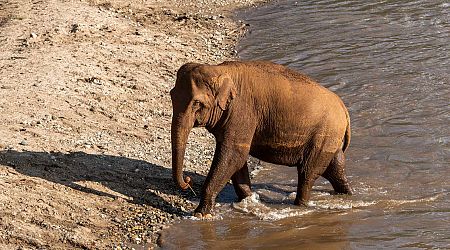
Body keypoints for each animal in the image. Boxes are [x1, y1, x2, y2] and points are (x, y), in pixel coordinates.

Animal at [170, 60, 352, 219]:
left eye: (197, 103)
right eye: (171, 96)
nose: (188, 181)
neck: (220, 70)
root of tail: (344, 109)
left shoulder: (242, 112)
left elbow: (233, 156)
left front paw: (200, 214)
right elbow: (237, 160)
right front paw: (249, 200)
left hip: (324, 135)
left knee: (308, 173)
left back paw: (300, 205)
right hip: (330, 139)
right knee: (335, 168)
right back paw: (346, 194)